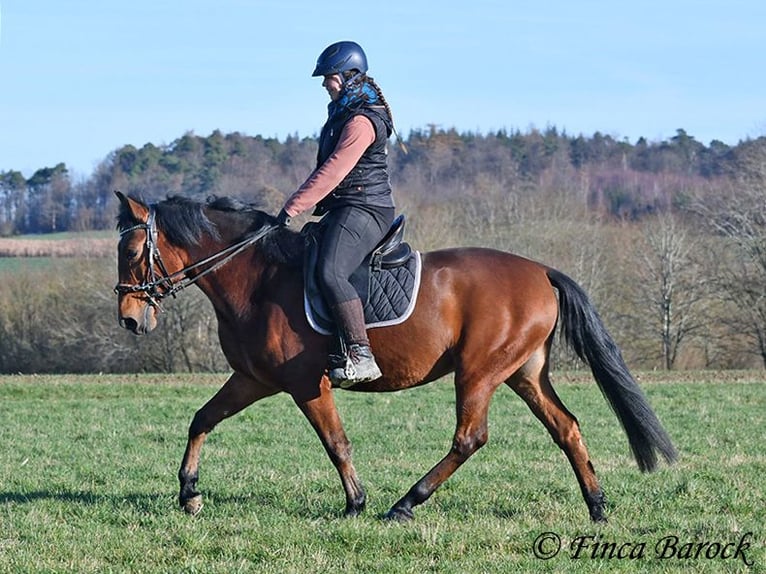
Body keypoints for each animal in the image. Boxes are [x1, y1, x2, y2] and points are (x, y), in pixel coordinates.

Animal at [114, 191, 680, 524]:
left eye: (132, 252)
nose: (129, 320)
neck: (257, 278)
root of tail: (542, 270)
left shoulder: (305, 383)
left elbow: (336, 443)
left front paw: (355, 504)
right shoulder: (253, 379)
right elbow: (201, 419)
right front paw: (189, 494)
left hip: (479, 371)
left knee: (470, 438)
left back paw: (405, 504)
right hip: (523, 372)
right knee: (566, 427)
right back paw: (598, 507)